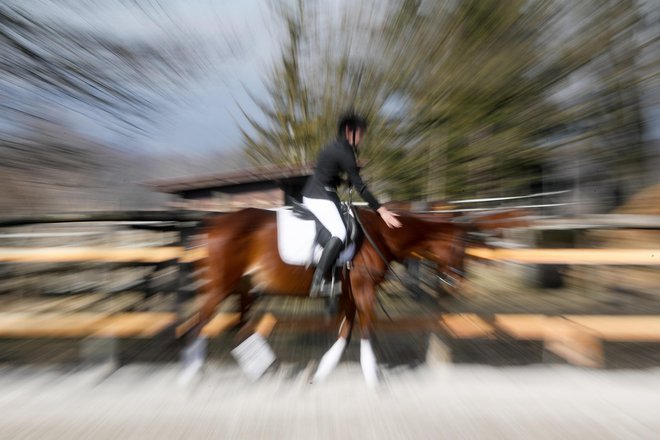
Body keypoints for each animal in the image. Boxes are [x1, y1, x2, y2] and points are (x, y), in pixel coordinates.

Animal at [179, 205, 520, 386]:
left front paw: (323, 370)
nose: (457, 281)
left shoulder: (348, 293)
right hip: (221, 287)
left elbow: (347, 328)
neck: (380, 234)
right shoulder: (363, 289)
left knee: (239, 325)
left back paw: (257, 366)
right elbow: (366, 326)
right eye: (462, 246)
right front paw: (372, 374)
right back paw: (192, 373)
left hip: (244, 288)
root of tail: (212, 224)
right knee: (199, 323)